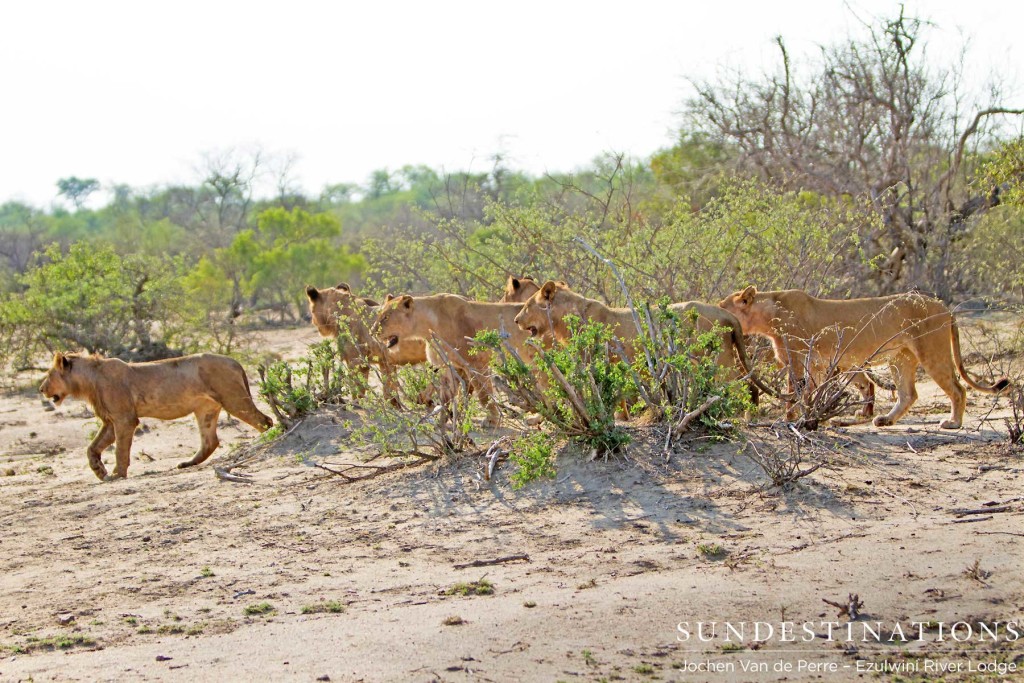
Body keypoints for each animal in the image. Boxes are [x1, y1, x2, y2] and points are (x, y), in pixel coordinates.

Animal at [39, 352, 274, 481]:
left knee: (265, 421)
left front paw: (117, 474)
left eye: (49, 375)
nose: (41, 389)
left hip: (234, 399)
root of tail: (234, 361)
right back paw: (187, 463)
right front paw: (99, 471)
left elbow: (121, 451)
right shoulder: (110, 420)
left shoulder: (125, 419)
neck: (90, 380)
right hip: (205, 408)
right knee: (210, 441)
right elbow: (92, 448)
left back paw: (264, 443)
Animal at [370, 294, 532, 423]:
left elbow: (484, 394)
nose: (372, 331)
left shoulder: (477, 362)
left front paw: (492, 420)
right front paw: (445, 418)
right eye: (379, 316)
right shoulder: (450, 365)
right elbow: (447, 396)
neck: (428, 328)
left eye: (386, 317)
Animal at [516, 278, 778, 395]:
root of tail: (726, 313)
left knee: (738, 385)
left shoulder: (592, 360)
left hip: (719, 358)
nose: (517, 320)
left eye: (527, 306)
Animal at [716, 286, 1011, 428]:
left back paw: (953, 423)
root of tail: (946, 308)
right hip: (901, 358)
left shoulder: (799, 360)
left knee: (958, 389)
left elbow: (795, 395)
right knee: (908, 394)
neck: (768, 316)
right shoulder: (816, 365)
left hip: (932, 352)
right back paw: (885, 420)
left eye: (722, 305)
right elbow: (807, 393)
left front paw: (789, 420)